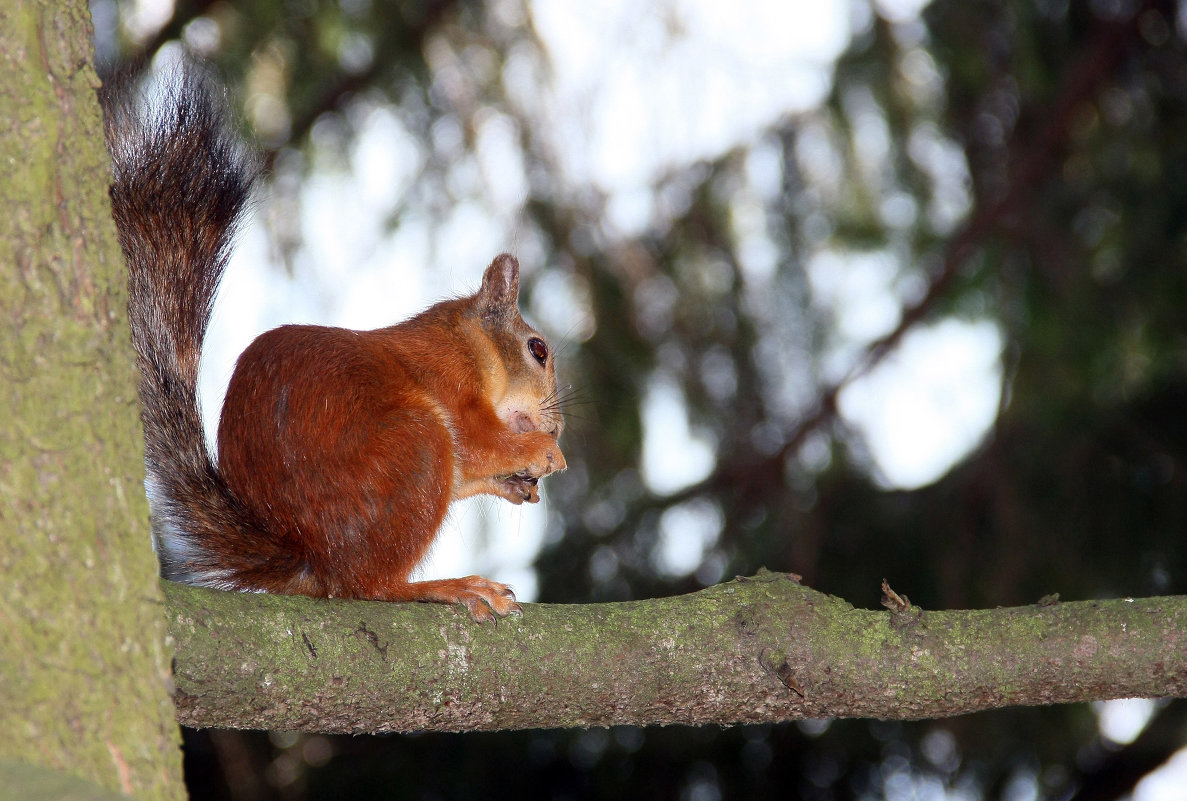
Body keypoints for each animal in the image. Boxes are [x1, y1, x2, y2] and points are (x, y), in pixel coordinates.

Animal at [102, 65, 565, 621]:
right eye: (538, 350)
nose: (557, 425)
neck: (471, 346)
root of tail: (310, 556)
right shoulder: (449, 379)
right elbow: (477, 444)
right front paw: (544, 452)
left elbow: (473, 467)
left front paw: (521, 481)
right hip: (414, 448)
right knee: (368, 584)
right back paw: (447, 586)